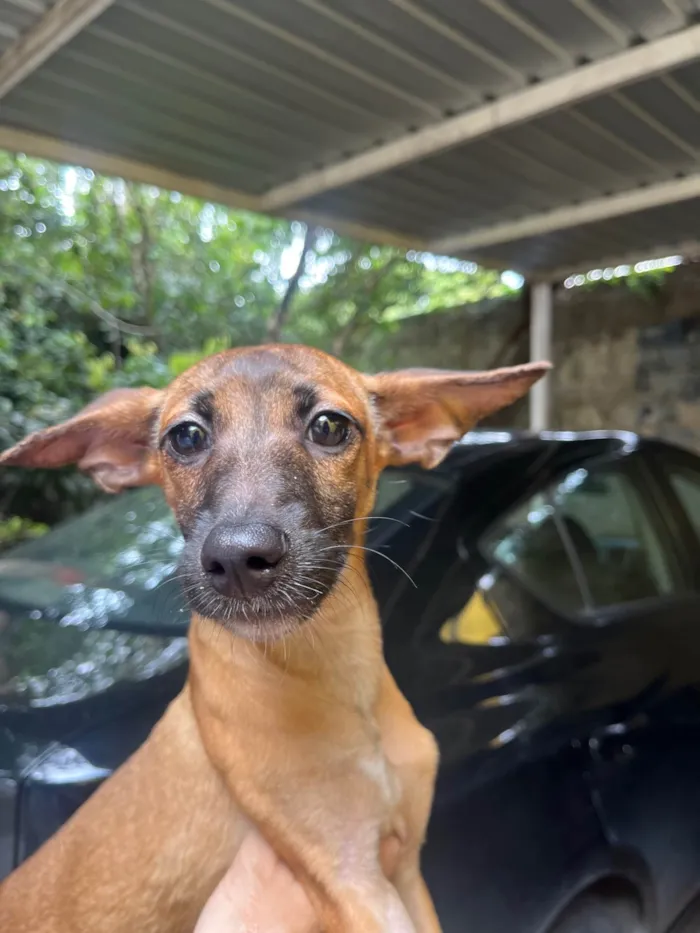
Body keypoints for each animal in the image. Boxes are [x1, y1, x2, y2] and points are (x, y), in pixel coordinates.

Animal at [0, 346, 548, 928]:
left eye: (329, 426)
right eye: (186, 437)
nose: (238, 559)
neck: (336, 682)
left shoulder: (403, 872)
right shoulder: (350, 880)